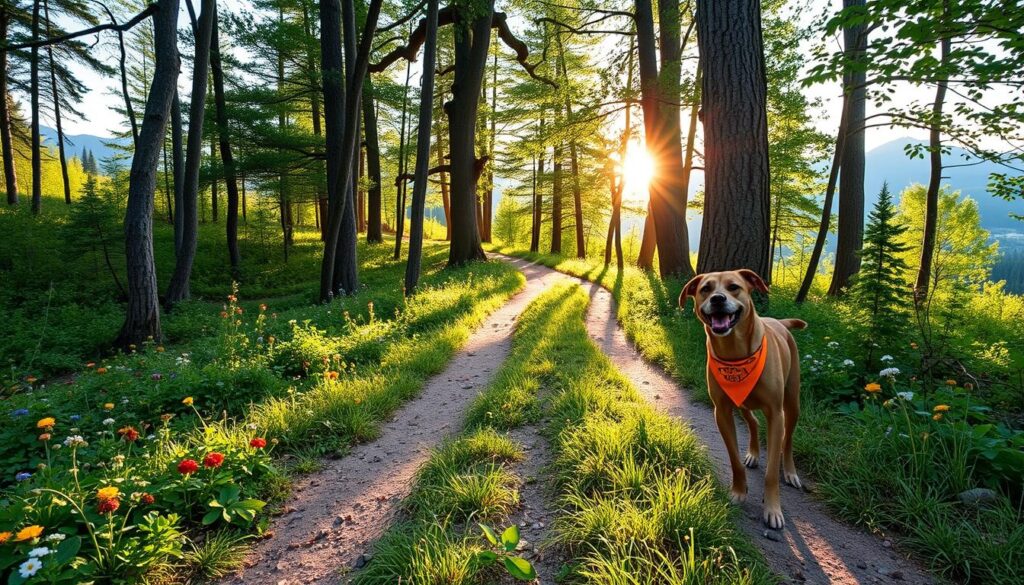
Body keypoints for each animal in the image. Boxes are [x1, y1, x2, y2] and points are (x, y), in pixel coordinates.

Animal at [679, 270, 806, 532]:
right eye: (705, 289)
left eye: (734, 287)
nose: (718, 299)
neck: (735, 353)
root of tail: (779, 322)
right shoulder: (722, 411)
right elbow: (734, 459)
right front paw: (738, 492)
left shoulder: (775, 413)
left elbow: (771, 472)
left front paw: (773, 509)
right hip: (743, 403)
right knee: (753, 423)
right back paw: (754, 454)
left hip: (792, 401)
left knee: (788, 438)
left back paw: (790, 471)